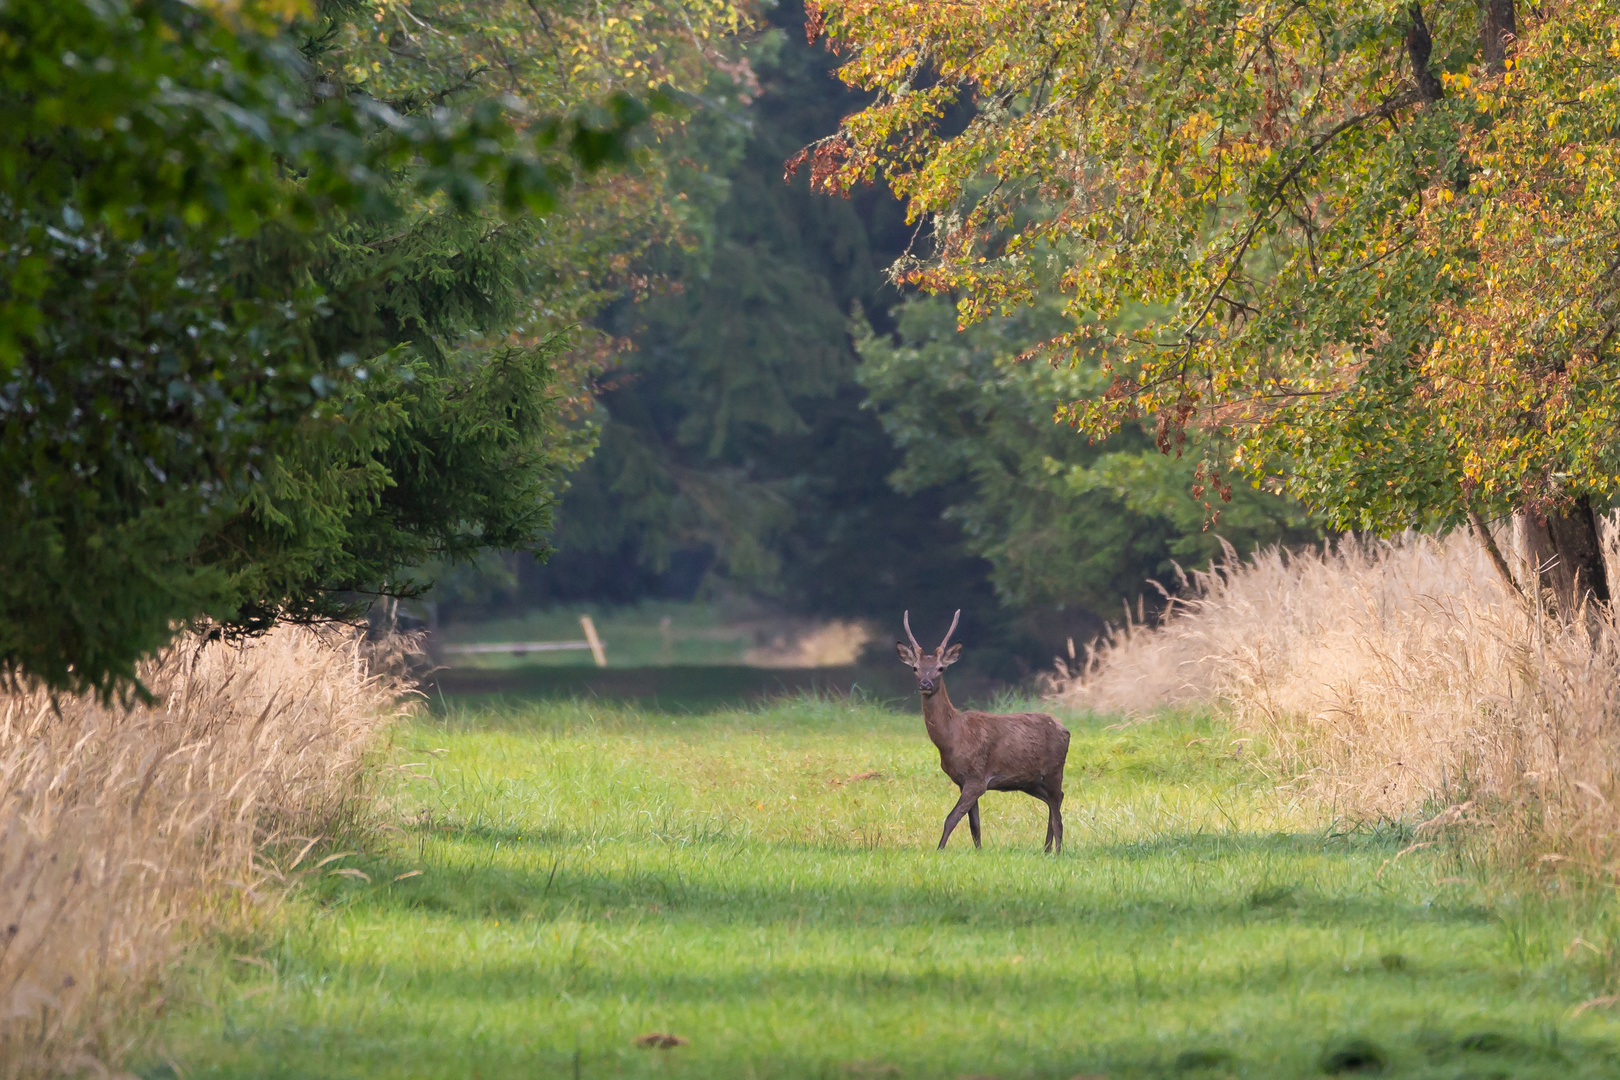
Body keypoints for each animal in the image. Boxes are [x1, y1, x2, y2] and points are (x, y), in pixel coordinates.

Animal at [900, 608, 1075, 854]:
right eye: (915, 668)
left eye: (940, 668)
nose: (925, 683)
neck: (952, 740)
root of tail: (1065, 729)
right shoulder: (963, 781)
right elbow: (974, 824)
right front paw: (978, 851)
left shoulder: (977, 777)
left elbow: (951, 818)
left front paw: (939, 850)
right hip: (1029, 780)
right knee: (1054, 800)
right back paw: (1046, 848)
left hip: (1054, 768)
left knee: (1057, 803)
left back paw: (1057, 850)